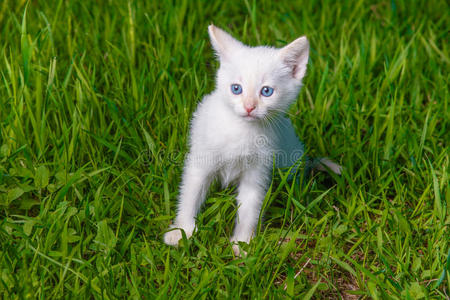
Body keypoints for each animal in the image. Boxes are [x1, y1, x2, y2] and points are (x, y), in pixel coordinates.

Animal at [163, 25, 340, 253]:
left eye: (266, 91)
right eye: (236, 88)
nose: (249, 107)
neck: (242, 130)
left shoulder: (258, 170)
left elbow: (250, 207)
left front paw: (243, 243)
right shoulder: (201, 159)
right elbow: (190, 193)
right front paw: (182, 230)